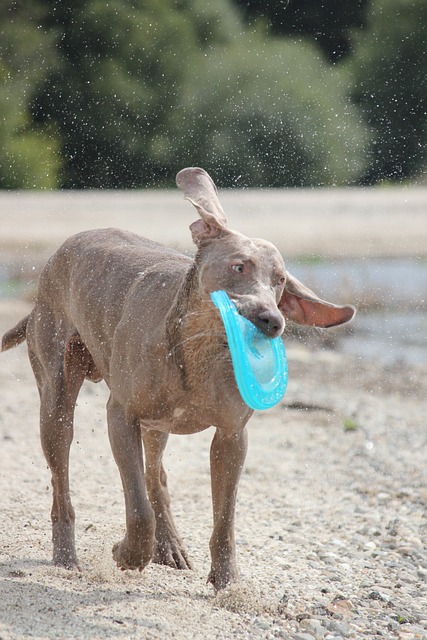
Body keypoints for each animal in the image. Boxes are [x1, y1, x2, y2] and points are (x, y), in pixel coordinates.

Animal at [1, 169, 356, 592]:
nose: (272, 320)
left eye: (281, 281)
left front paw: (227, 581)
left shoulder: (232, 436)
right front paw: (128, 553)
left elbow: (224, 519)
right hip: (57, 400)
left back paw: (169, 546)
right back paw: (66, 557)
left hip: (158, 425)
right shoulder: (121, 415)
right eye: (239, 266)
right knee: (63, 484)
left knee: (157, 475)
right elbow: (138, 510)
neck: (196, 351)